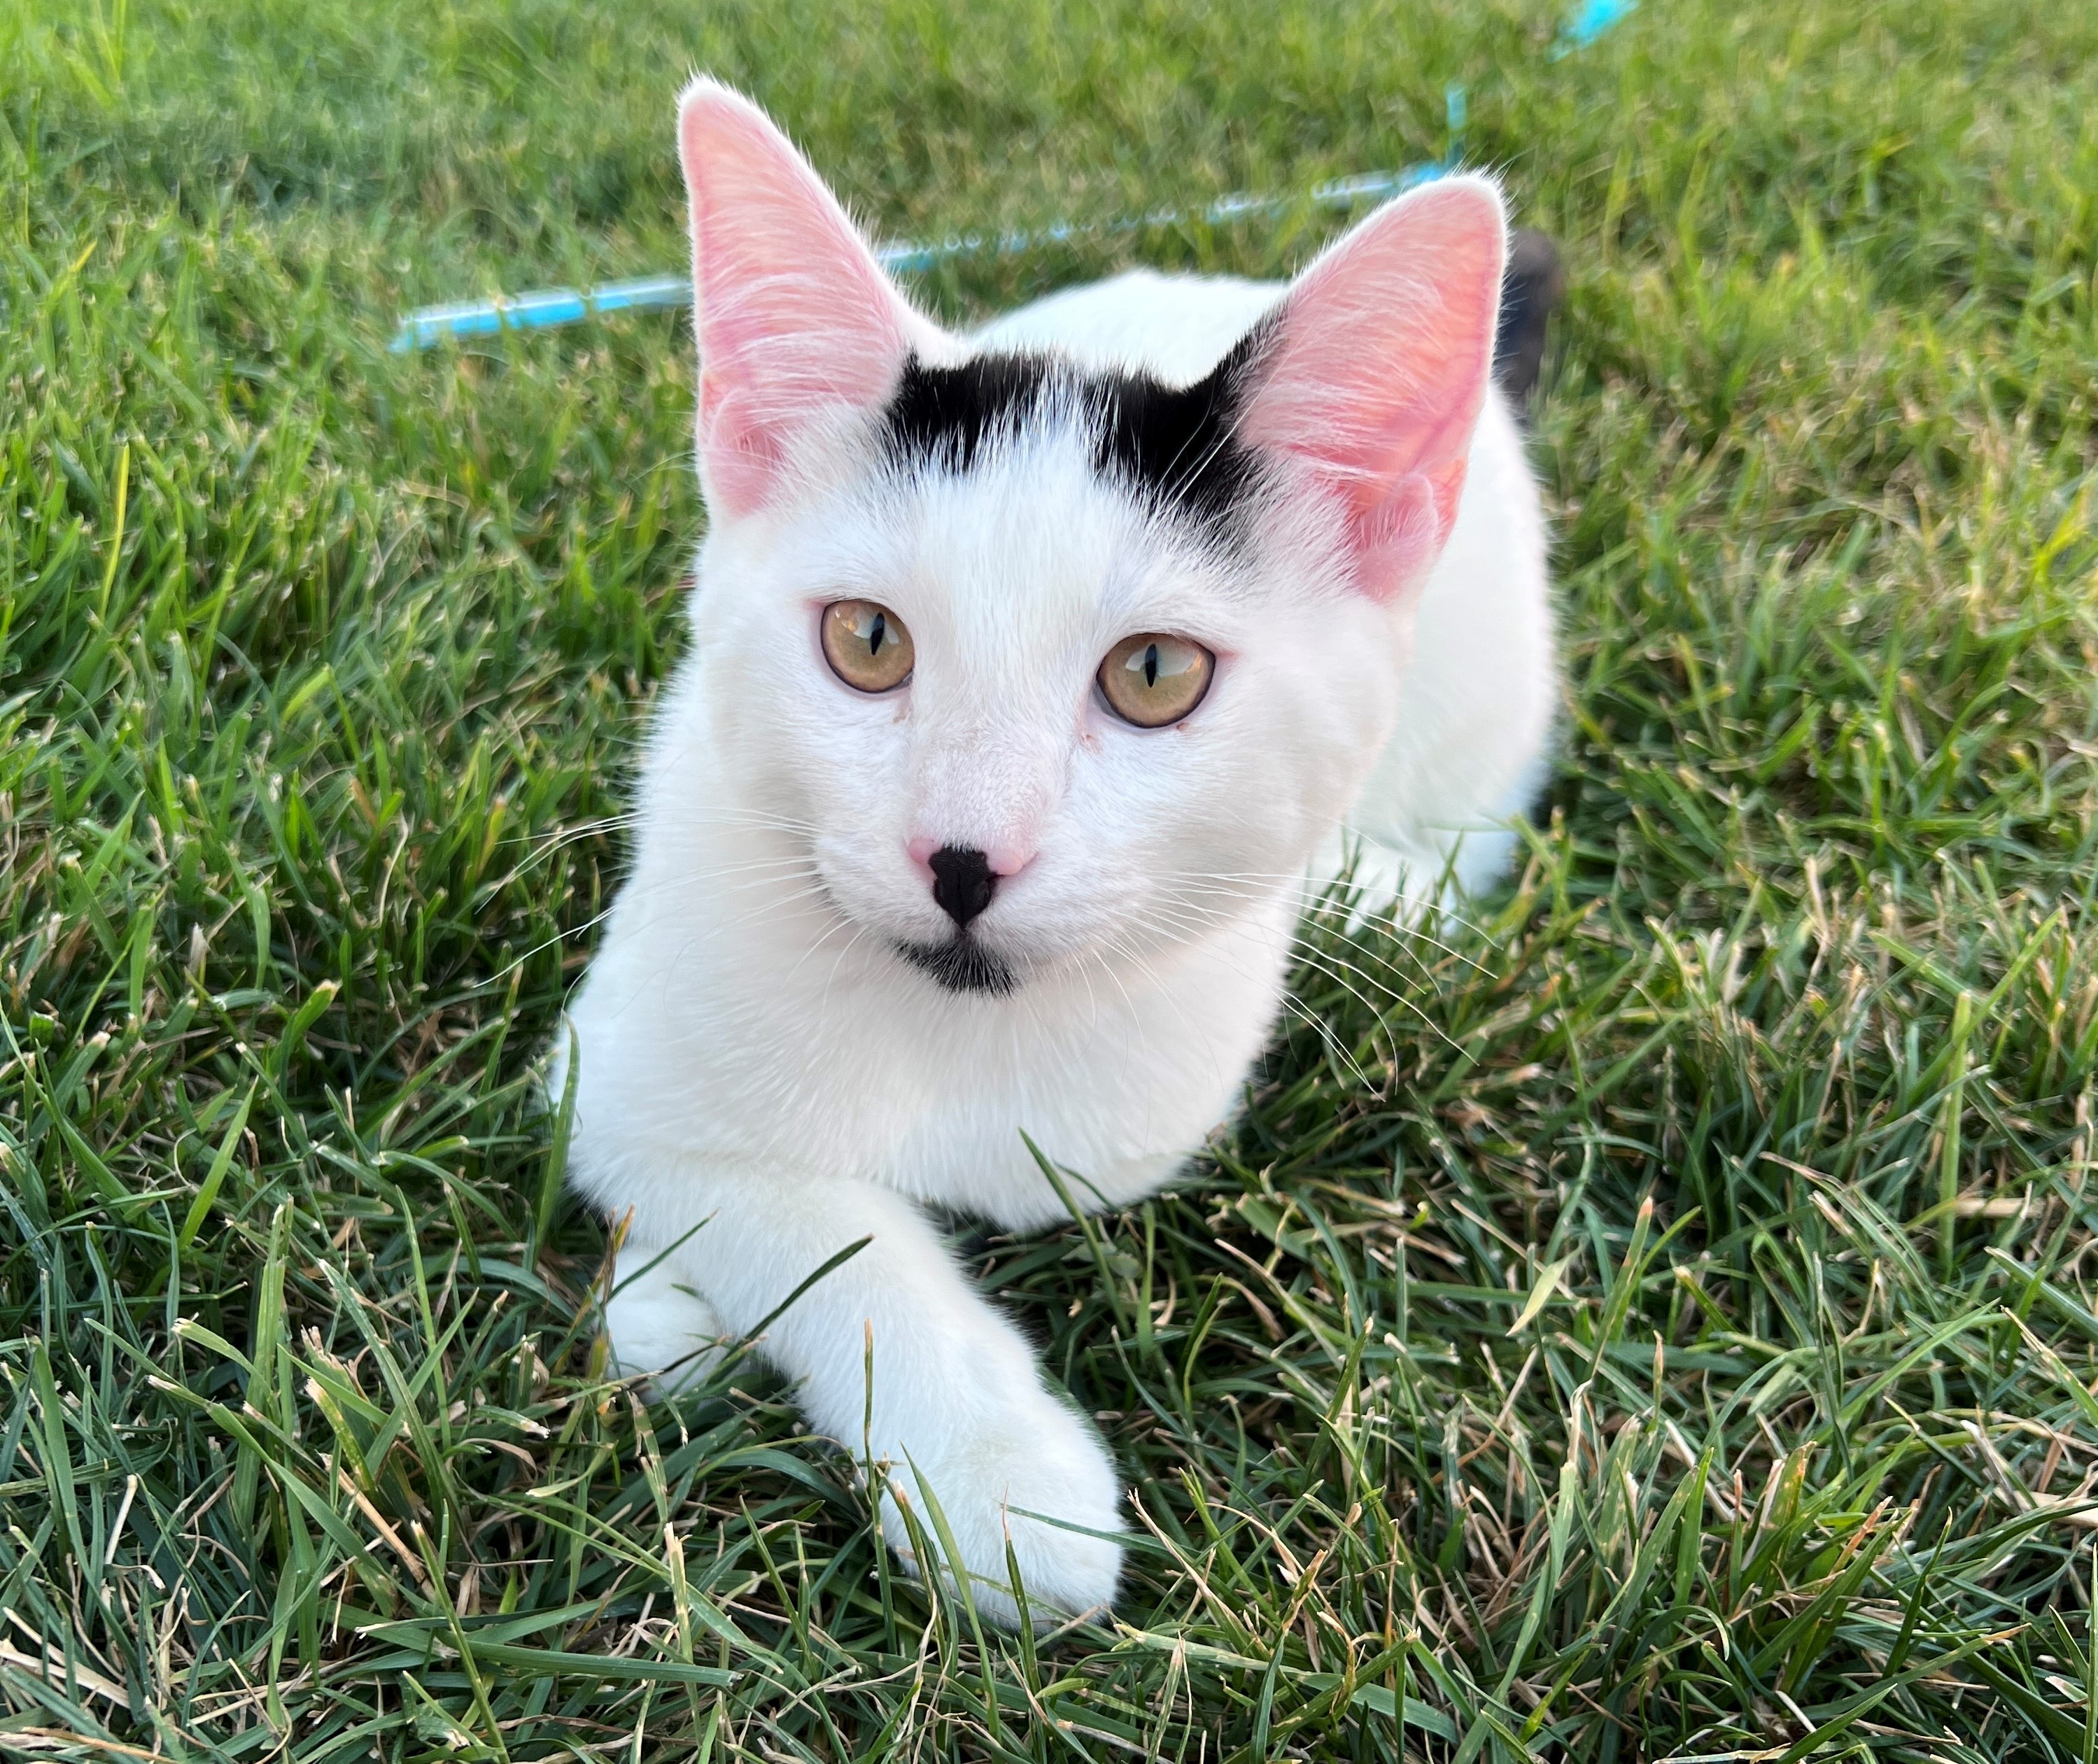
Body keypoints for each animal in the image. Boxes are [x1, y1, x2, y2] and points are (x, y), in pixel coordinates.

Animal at [558, 79, 1561, 1628]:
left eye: (1154, 674)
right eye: (865, 640)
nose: (962, 858)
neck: (955, 1035)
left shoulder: (1123, 1137)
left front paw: (985, 1474)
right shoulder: (605, 1063)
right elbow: (793, 1213)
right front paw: (989, 1461)